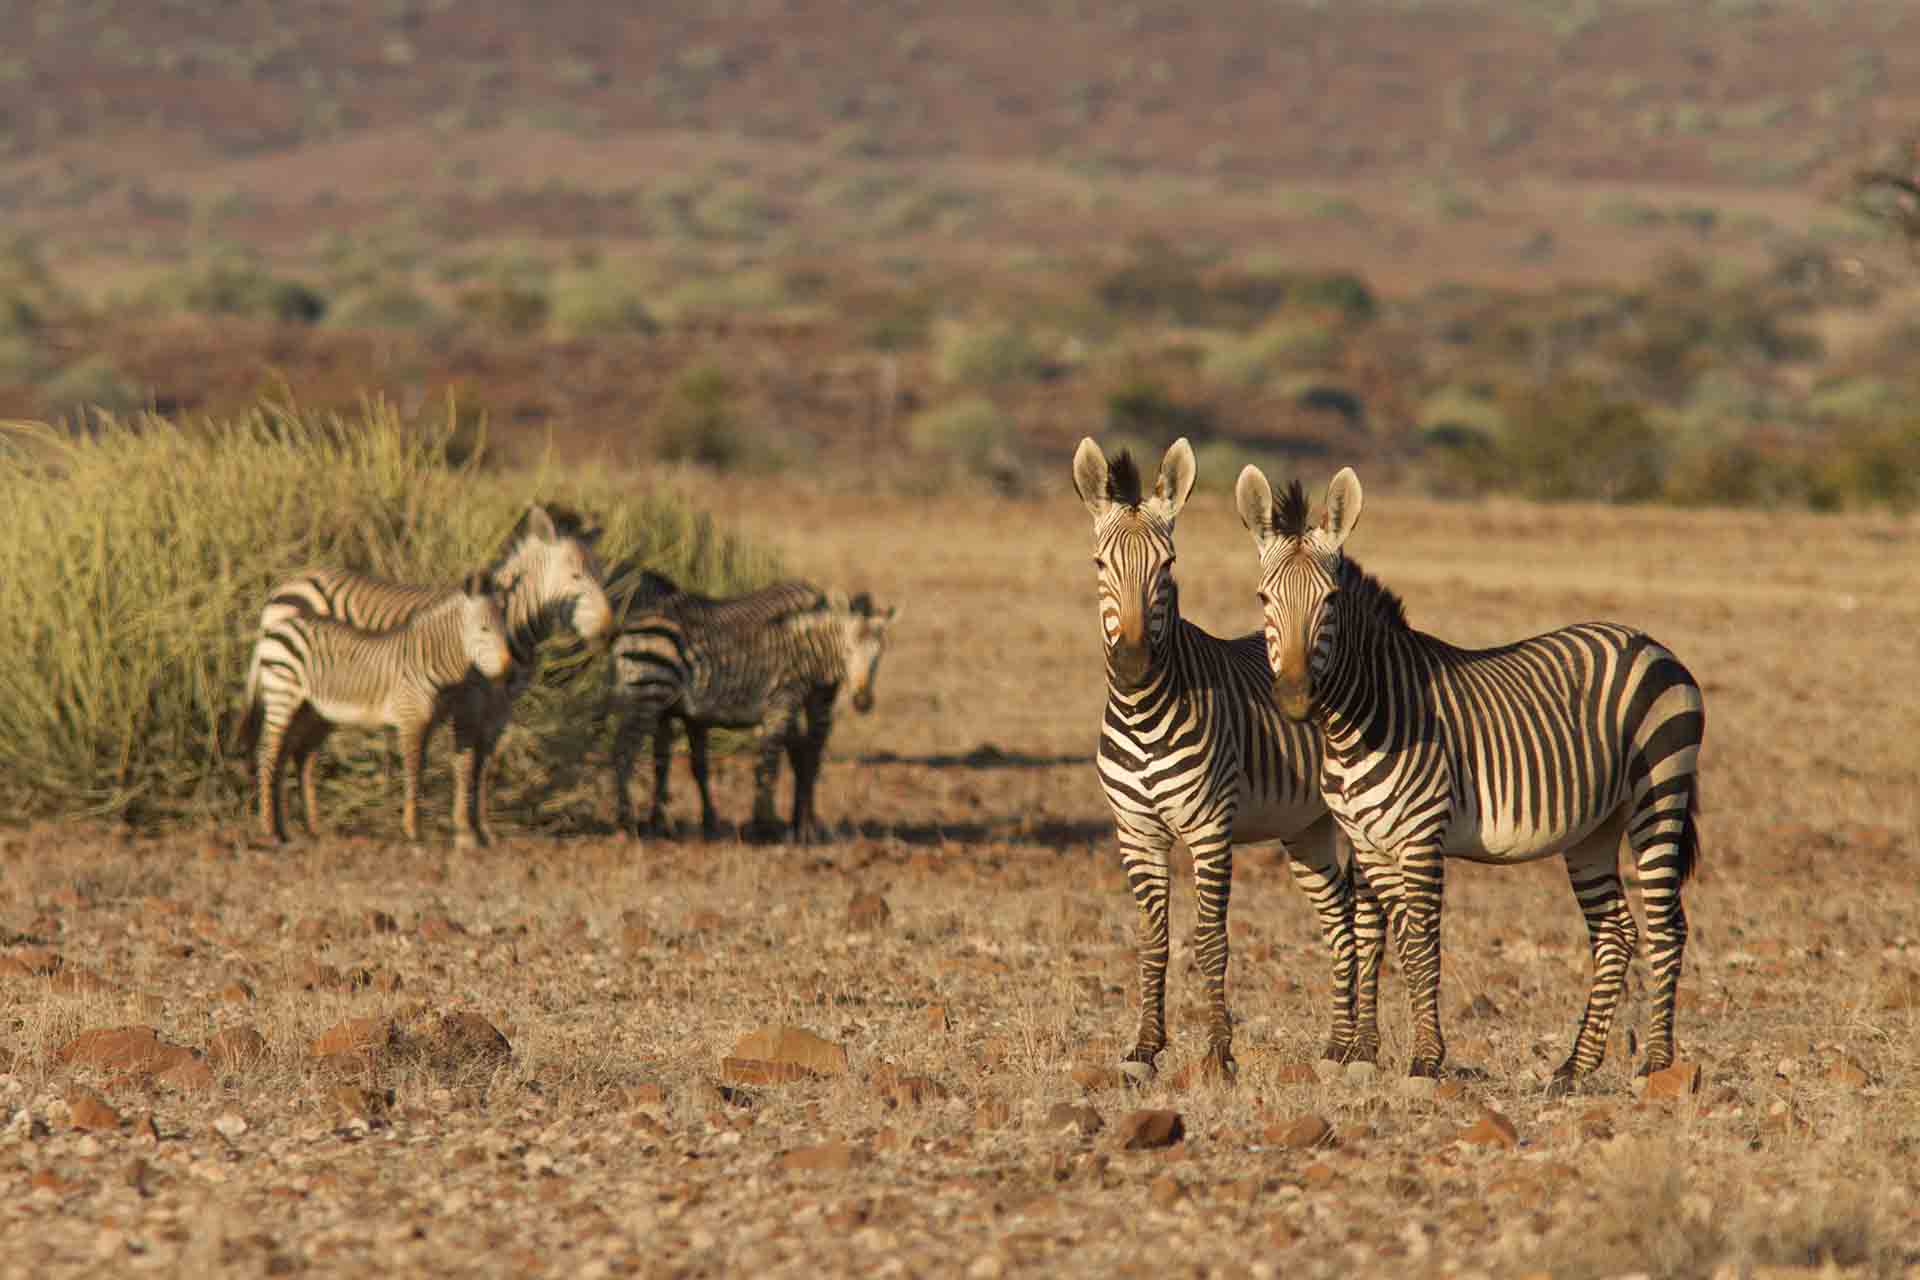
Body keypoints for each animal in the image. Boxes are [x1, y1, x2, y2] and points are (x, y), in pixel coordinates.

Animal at [237, 571, 514, 852]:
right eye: (484, 629)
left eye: (505, 630)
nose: (510, 672)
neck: (432, 660)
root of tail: (275, 629)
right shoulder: (410, 718)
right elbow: (414, 773)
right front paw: (413, 833)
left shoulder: (428, 723)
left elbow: (425, 771)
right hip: (282, 695)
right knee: (268, 755)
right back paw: (269, 830)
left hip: (311, 711)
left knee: (289, 755)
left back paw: (293, 831)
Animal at [602, 575, 894, 844]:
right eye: (848, 650)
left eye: (879, 655)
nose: (863, 701)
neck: (811, 650)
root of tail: (625, 631)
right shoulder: (782, 702)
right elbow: (769, 764)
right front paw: (764, 828)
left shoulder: (687, 712)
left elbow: (687, 765)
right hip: (647, 695)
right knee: (623, 751)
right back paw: (626, 823)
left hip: (655, 700)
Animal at [1067, 437, 1367, 1082]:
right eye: (1100, 566)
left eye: (1167, 566)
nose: (1132, 663)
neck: (1142, 713)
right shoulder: (1136, 832)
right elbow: (1152, 940)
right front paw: (1145, 1049)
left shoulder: (1209, 828)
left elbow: (1210, 941)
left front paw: (1218, 1055)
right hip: (1305, 828)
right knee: (1340, 914)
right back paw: (1338, 1043)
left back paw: (1355, 1043)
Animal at [1236, 462, 1704, 1090]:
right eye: (1263, 597)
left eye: (1329, 601)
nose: (1293, 698)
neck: (1361, 717)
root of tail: (1650, 642)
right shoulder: (1368, 841)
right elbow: (1378, 935)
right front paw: (1364, 1053)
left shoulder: (1419, 839)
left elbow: (1420, 947)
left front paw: (1424, 1060)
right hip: (1594, 829)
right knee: (1615, 933)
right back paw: (1575, 1067)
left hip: (1660, 795)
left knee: (1666, 926)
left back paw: (1655, 1062)